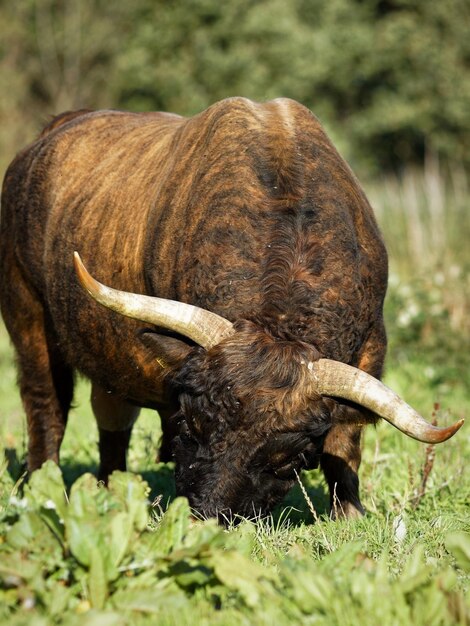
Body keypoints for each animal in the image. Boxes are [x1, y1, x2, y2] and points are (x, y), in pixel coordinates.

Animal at [0, 97, 462, 516]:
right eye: (190, 422)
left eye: (288, 457)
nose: (207, 515)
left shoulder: (371, 346)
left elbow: (345, 441)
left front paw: (348, 514)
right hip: (27, 316)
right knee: (46, 407)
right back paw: (41, 488)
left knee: (112, 415)